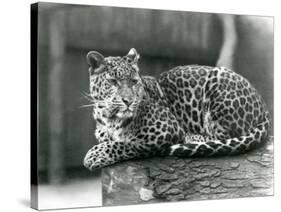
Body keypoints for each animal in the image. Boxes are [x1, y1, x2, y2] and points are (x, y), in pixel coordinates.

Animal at [82, 48, 270, 171]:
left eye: (134, 82)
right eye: (113, 82)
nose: (129, 101)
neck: (108, 117)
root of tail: (263, 106)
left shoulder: (164, 130)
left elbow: (125, 143)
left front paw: (95, 155)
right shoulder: (102, 133)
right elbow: (113, 139)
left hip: (218, 81)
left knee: (223, 137)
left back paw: (191, 137)